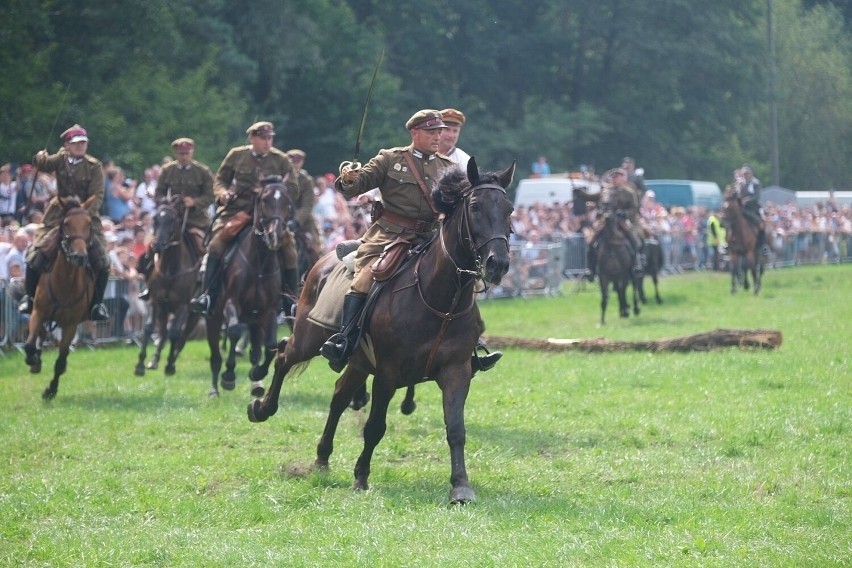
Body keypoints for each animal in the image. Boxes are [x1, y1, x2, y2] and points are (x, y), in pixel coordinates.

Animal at [22, 197, 95, 402]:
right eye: (67, 223)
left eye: (89, 224)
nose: (79, 257)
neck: (65, 281)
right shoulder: (38, 312)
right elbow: (29, 345)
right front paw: (32, 360)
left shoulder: (71, 325)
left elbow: (61, 361)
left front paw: (50, 390)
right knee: (38, 336)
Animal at [136, 195, 203, 378]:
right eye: (155, 219)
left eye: (173, 220)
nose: (157, 245)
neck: (169, 269)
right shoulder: (156, 301)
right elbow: (148, 328)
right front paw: (140, 365)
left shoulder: (183, 306)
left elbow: (175, 333)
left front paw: (170, 366)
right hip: (164, 309)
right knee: (164, 332)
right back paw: (154, 360)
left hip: (194, 314)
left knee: (182, 336)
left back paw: (173, 358)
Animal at [205, 175, 292, 398]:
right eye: (264, 200)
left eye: (287, 202)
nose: (276, 236)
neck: (259, 263)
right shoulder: (231, 303)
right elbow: (234, 332)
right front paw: (228, 376)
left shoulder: (268, 312)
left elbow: (270, 345)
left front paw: (258, 373)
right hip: (213, 319)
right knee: (215, 354)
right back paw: (214, 389)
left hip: (254, 323)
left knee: (254, 352)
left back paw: (256, 385)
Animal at [246, 158, 512, 504]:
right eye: (476, 206)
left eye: (509, 209)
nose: (498, 264)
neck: (439, 298)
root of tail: (322, 259)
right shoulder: (387, 373)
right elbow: (374, 427)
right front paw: (361, 476)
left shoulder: (457, 371)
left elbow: (456, 429)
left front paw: (461, 486)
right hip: (309, 338)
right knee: (282, 355)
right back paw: (262, 407)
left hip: (358, 362)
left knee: (338, 396)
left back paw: (322, 458)